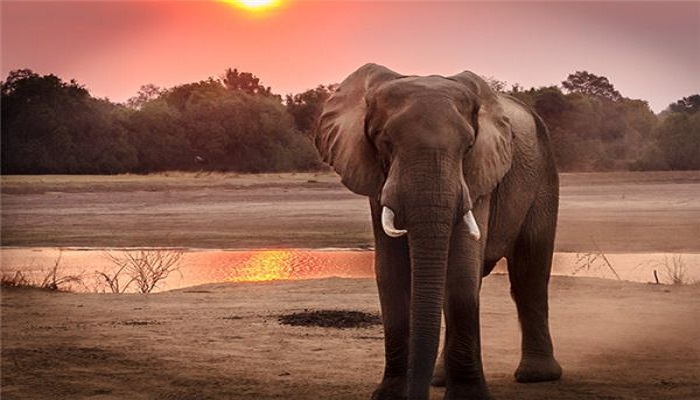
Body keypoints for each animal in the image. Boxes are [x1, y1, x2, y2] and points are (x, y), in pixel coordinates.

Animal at [313, 63, 562, 400]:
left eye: (468, 146)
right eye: (384, 141)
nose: (415, 395)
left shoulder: (478, 174)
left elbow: (460, 271)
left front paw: (468, 397)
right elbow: (391, 273)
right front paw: (390, 395)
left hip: (544, 175)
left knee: (529, 272)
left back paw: (536, 376)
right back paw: (440, 379)